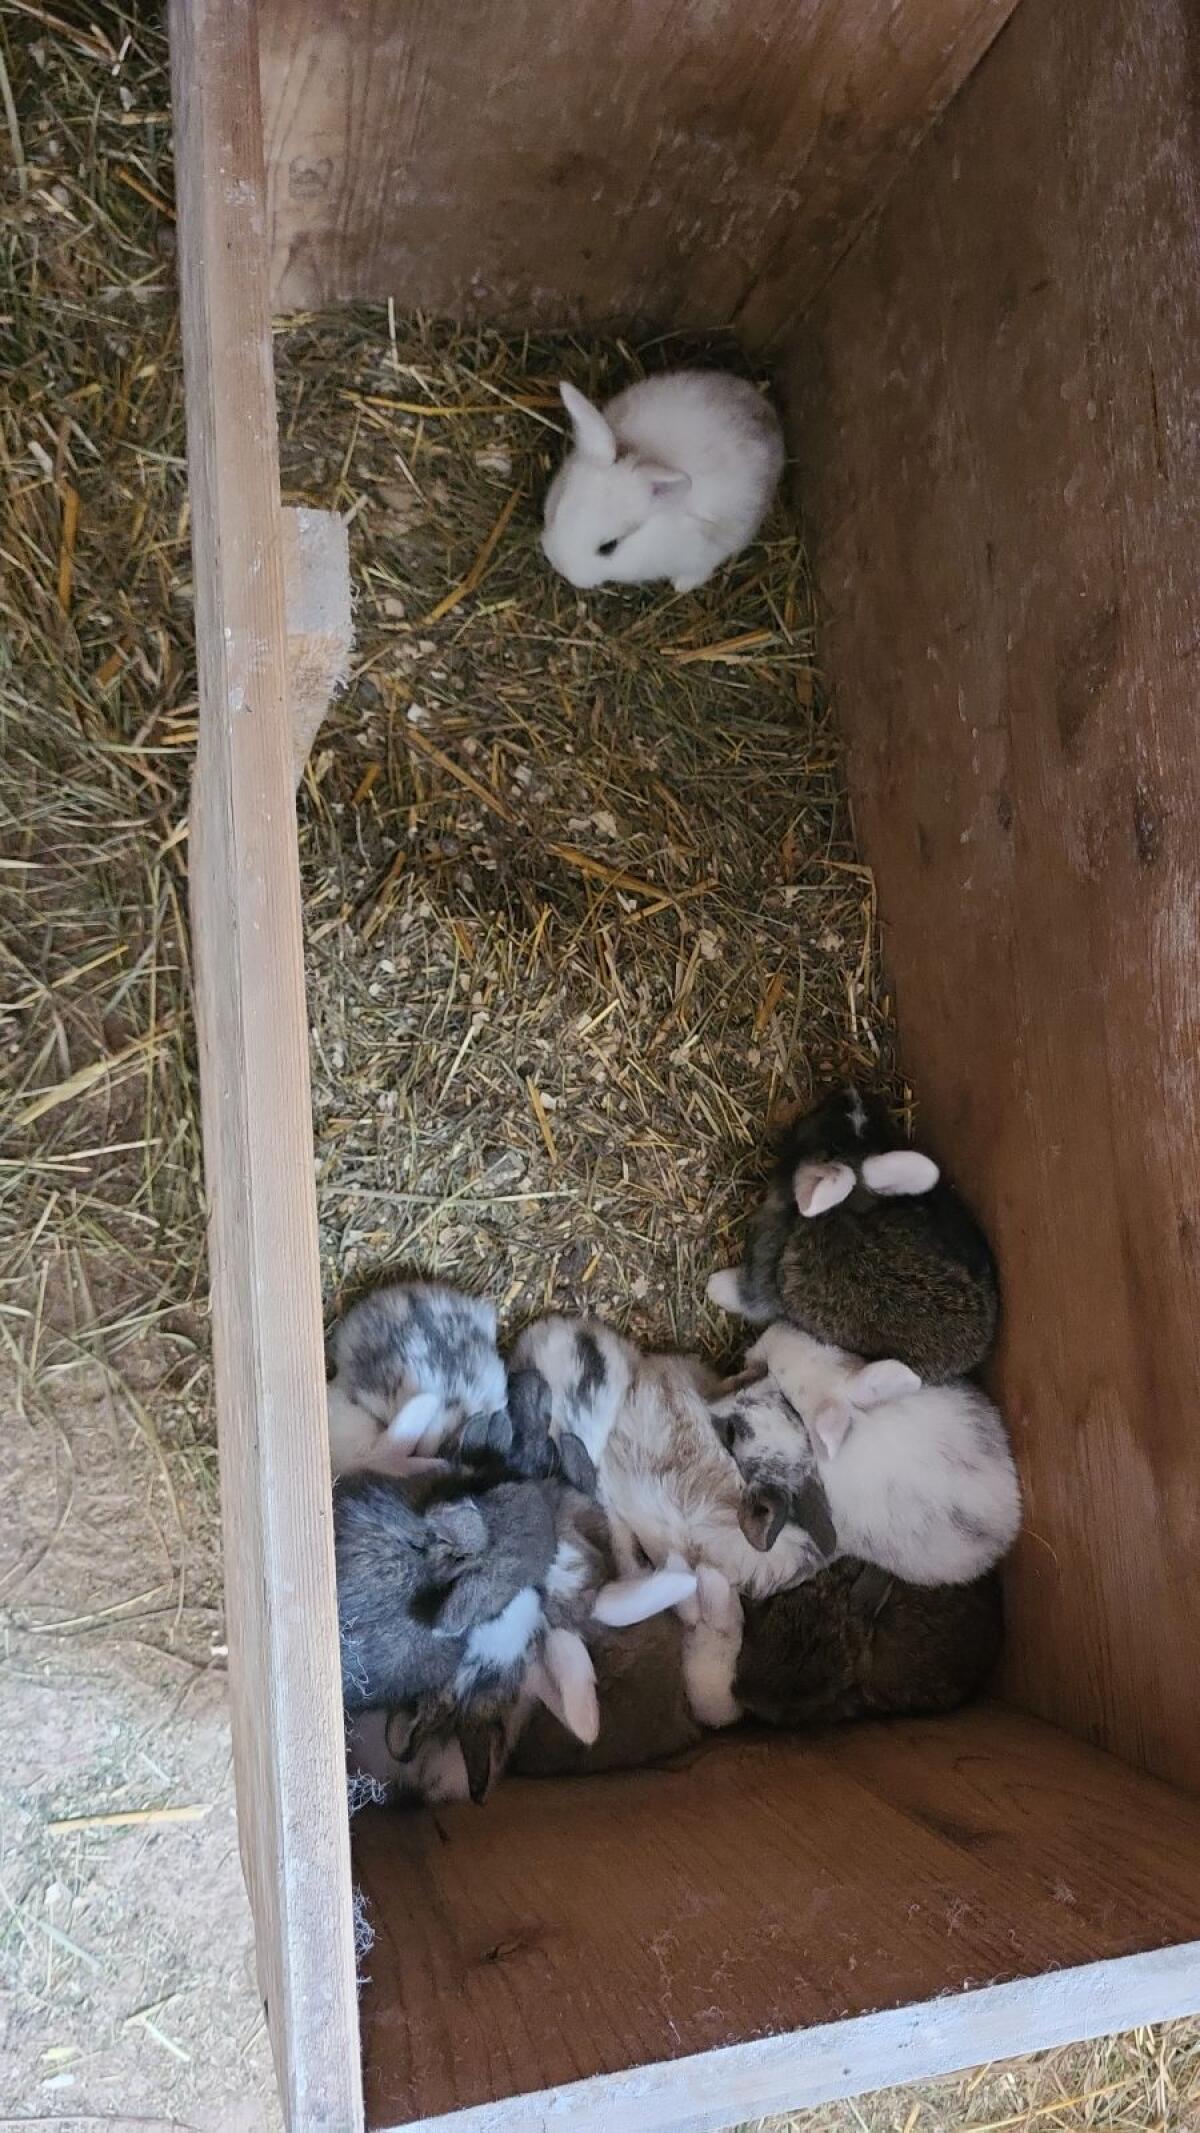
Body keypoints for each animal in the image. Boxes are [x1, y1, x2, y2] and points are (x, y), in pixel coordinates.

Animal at [541, 372, 785, 594]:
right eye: (558, 512)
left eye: (608, 547)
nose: (560, 566)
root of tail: (762, 404)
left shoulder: (707, 550)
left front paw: (682, 586)